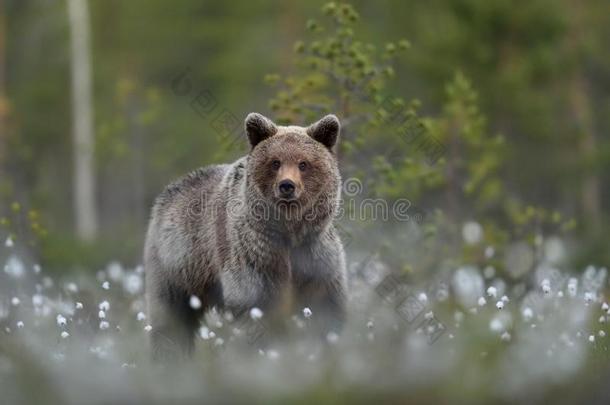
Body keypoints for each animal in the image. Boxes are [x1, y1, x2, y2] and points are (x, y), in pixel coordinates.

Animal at [141, 112, 342, 358]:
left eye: (303, 163)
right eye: (275, 162)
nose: (287, 185)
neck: (289, 232)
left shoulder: (315, 253)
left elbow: (326, 303)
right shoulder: (255, 253)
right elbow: (257, 306)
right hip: (176, 263)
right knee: (170, 317)